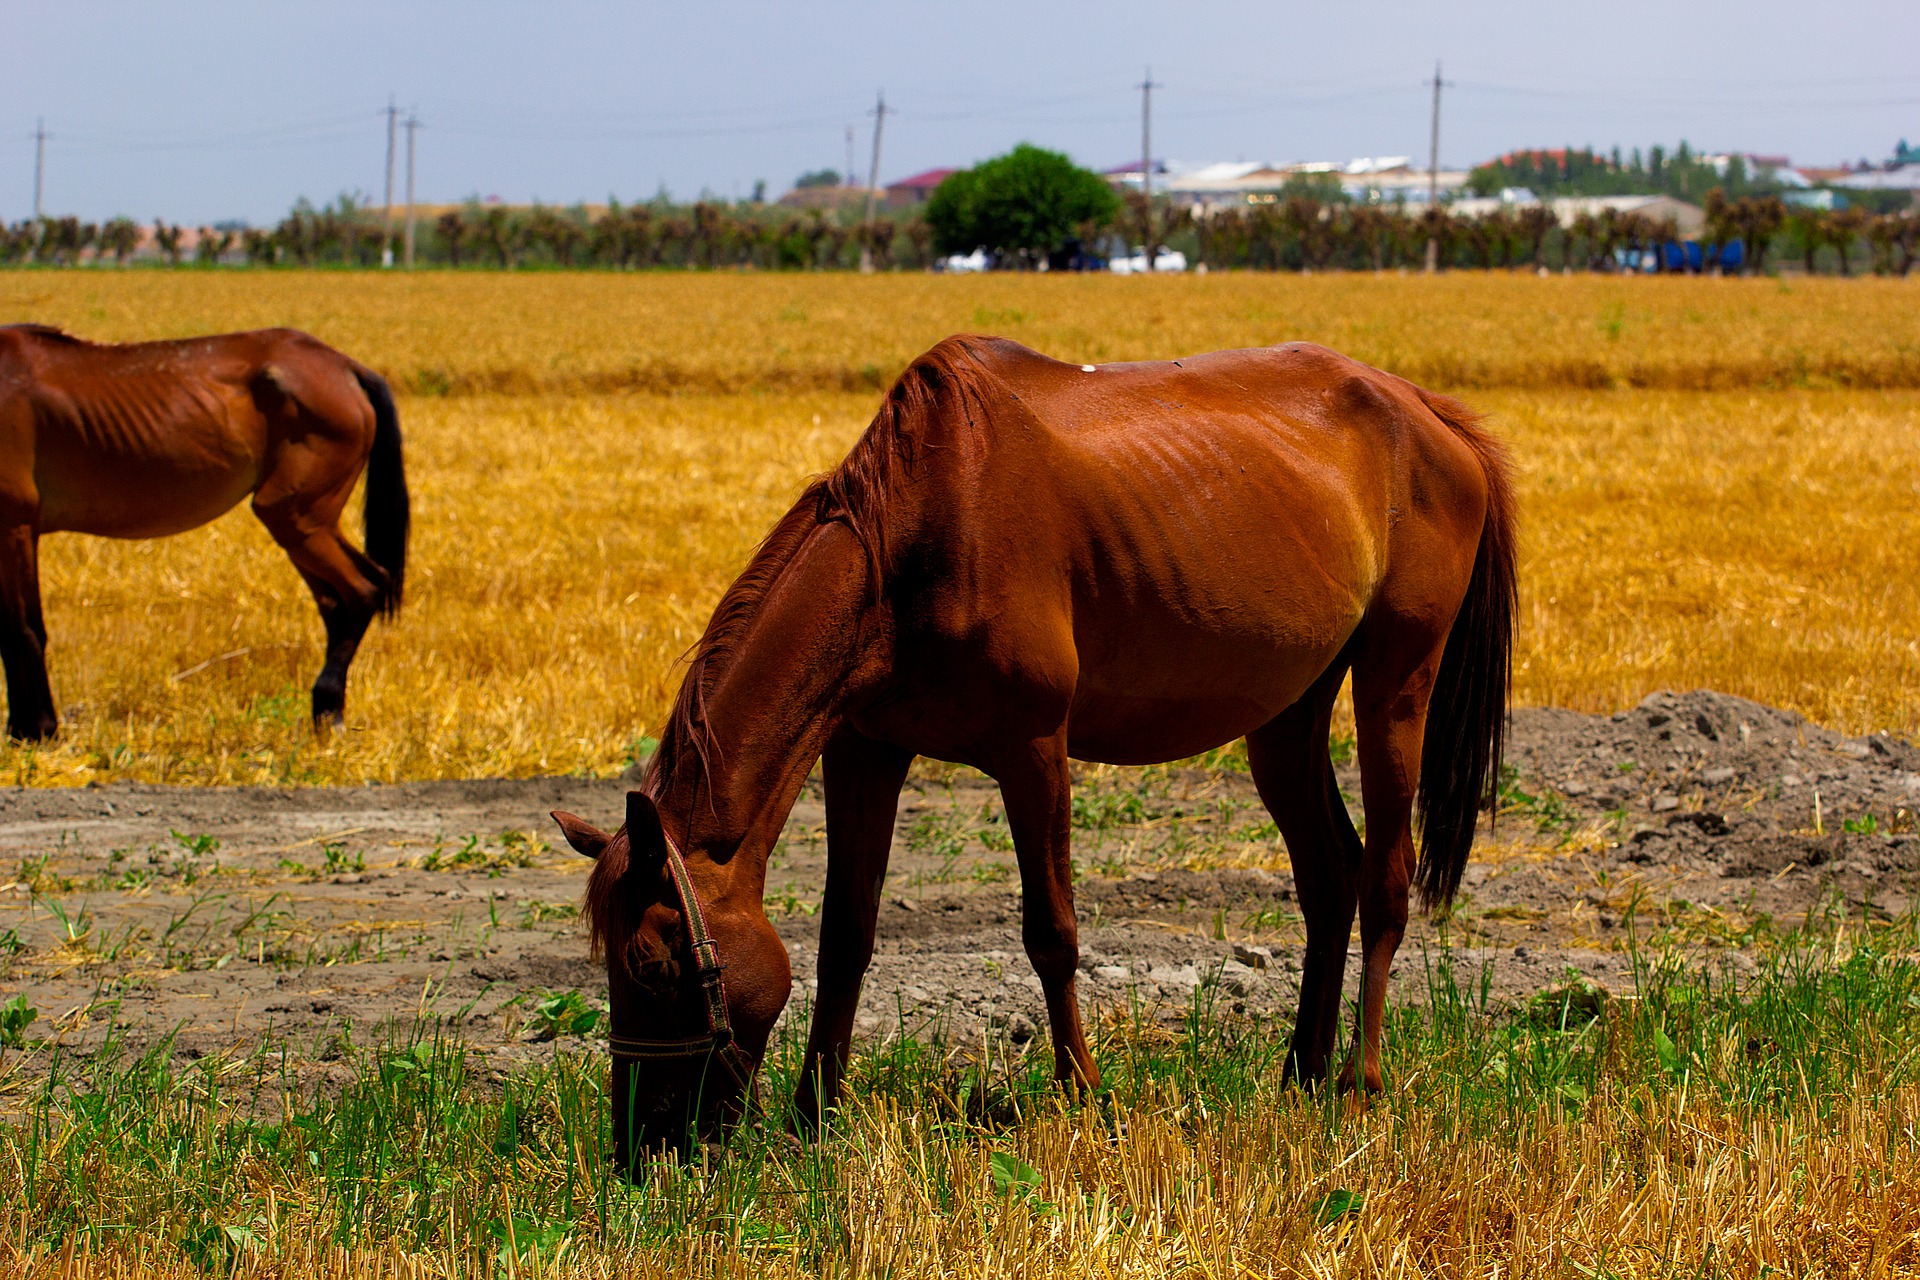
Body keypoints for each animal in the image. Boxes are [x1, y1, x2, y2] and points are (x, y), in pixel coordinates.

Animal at [0, 322, 405, 740]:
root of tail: (347, 368)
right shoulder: (18, 532)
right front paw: (22, 726)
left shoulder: (13, 526)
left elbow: (22, 629)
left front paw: (36, 728)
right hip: (305, 527)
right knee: (339, 600)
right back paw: (325, 710)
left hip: (298, 520)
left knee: (363, 589)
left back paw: (329, 710)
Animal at [556, 335, 1512, 1166]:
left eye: (649, 964)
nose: (640, 1145)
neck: (913, 541)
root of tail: (1428, 414)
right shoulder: (864, 755)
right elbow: (845, 936)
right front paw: (812, 1115)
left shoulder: (1033, 751)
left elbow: (1051, 932)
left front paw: (1084, 1097)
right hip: (1285, 716)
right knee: (1328, 877)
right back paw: (1300, 1073)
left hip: (1395, 685)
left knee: (1385, 880)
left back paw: (1358, 1083)